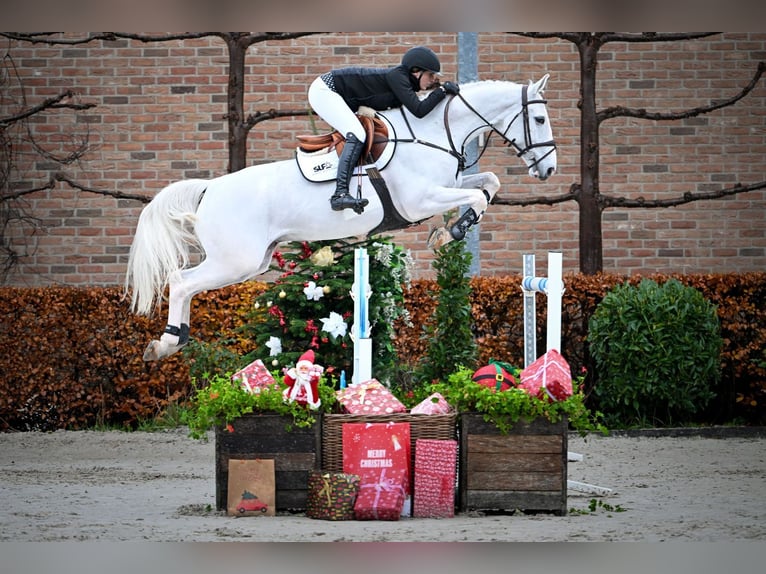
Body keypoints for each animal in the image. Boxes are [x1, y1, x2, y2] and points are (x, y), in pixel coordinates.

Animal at [124, 75, 560, 360]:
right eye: (539, 120)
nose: (549, 170)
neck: (434, 133)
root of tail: (209, 189)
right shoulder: (420, 200)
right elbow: (476, 194)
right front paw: (450, 231)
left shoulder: (448, 184)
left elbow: (488, 183)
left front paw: (452, 228)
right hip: (236, 262)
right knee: (181, 282)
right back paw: (165, 343)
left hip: (252, 261)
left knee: (185, 284)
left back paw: (172, 341)